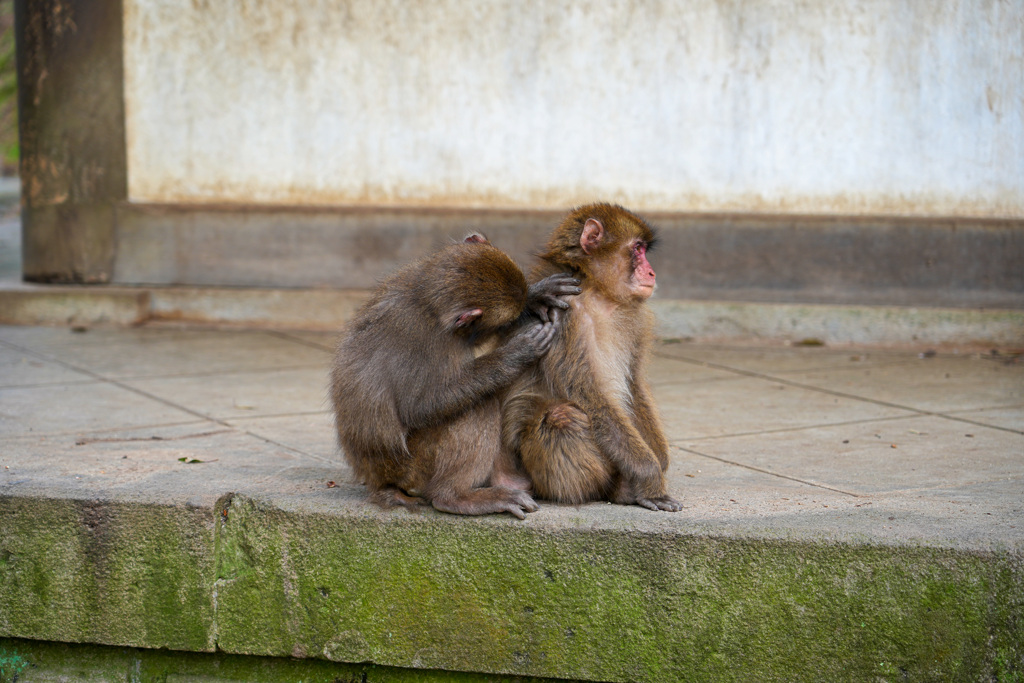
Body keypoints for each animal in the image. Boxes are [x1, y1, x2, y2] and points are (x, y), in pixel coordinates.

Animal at [331, 233, 581, 518]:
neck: (427, 301)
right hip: (413, 468)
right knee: (478, 406)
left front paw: (536, 294)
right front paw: (516, 354)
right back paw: (455, 497)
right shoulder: (425, 339)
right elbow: (419, 407)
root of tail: (377, 479)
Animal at [501, 202, 684, 511]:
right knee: (561, 418)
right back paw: (616, 489)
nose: (651, 273)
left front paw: (660, 461)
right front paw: (649, 476)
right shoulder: (562, 314)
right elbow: (585, 391)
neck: (598, 293)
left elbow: (634, 383)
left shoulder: (637, 318)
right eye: (637, 249)